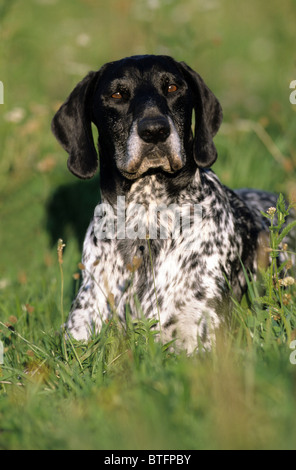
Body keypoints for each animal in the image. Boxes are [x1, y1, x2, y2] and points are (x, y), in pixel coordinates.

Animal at [51, 54, 292, 352]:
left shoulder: (200, 338)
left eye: (173, 88)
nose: (155, 130)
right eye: (117, 94)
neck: (145, 221)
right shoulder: (79, 332)